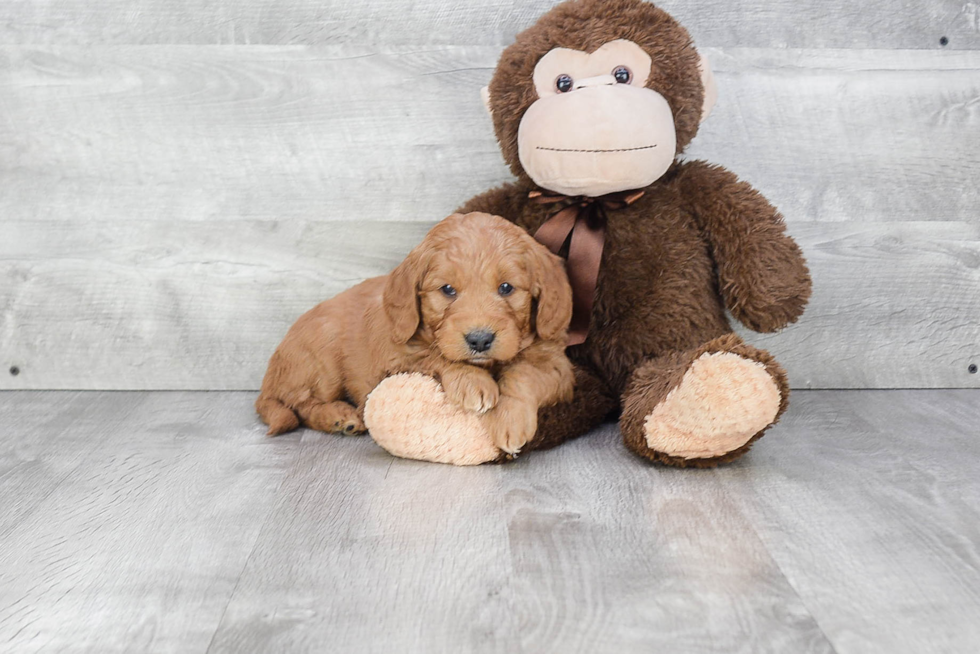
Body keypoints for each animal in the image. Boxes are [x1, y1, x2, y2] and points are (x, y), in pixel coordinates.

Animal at [256, 214, 576, 456]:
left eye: (507, 288)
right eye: (447, 290)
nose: (480, 340)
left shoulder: (557, 365)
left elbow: (524, 374)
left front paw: (510, 421)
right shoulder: (396, 359)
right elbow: (435, 356)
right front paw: (473, 382)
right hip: (322, 360)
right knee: (299, 404)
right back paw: (338, 417)